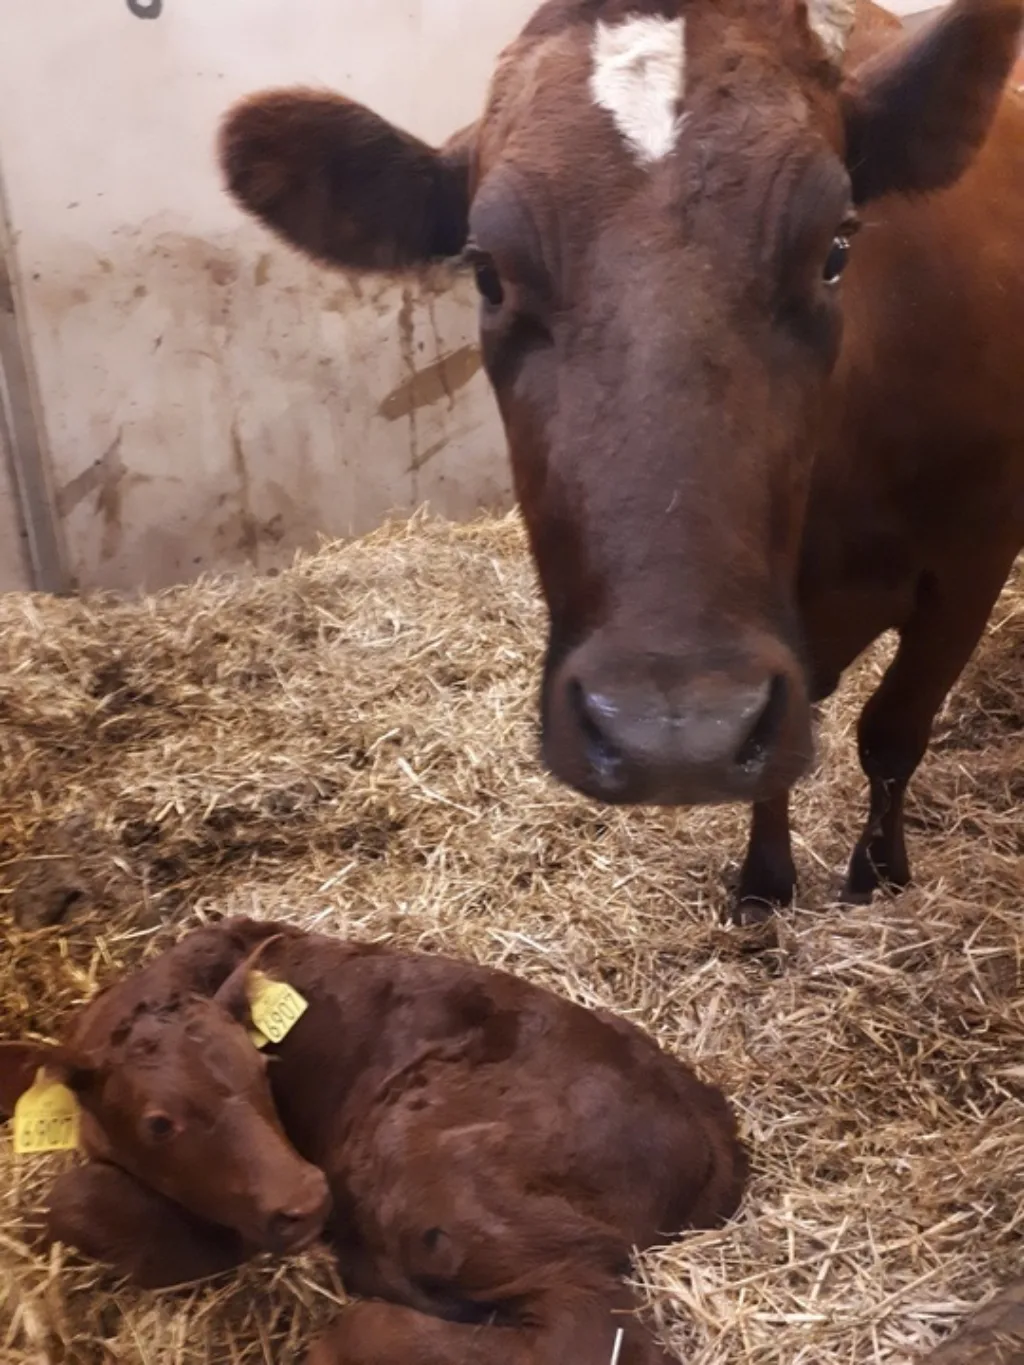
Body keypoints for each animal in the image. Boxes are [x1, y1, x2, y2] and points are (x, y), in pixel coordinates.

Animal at [0, 917, 747, 1365]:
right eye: (160, 1122)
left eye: (260, 1069)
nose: (308, 1198)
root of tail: (705, 1113)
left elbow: (73, 1200)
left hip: (432, 1170)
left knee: (591, 1328)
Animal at [216, 0, 1024, 926]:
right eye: (487, 272)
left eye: (835, 249)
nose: (673, 736)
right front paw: (765, 881)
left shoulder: (974, 560)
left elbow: (892, 732)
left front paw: (878, 871)